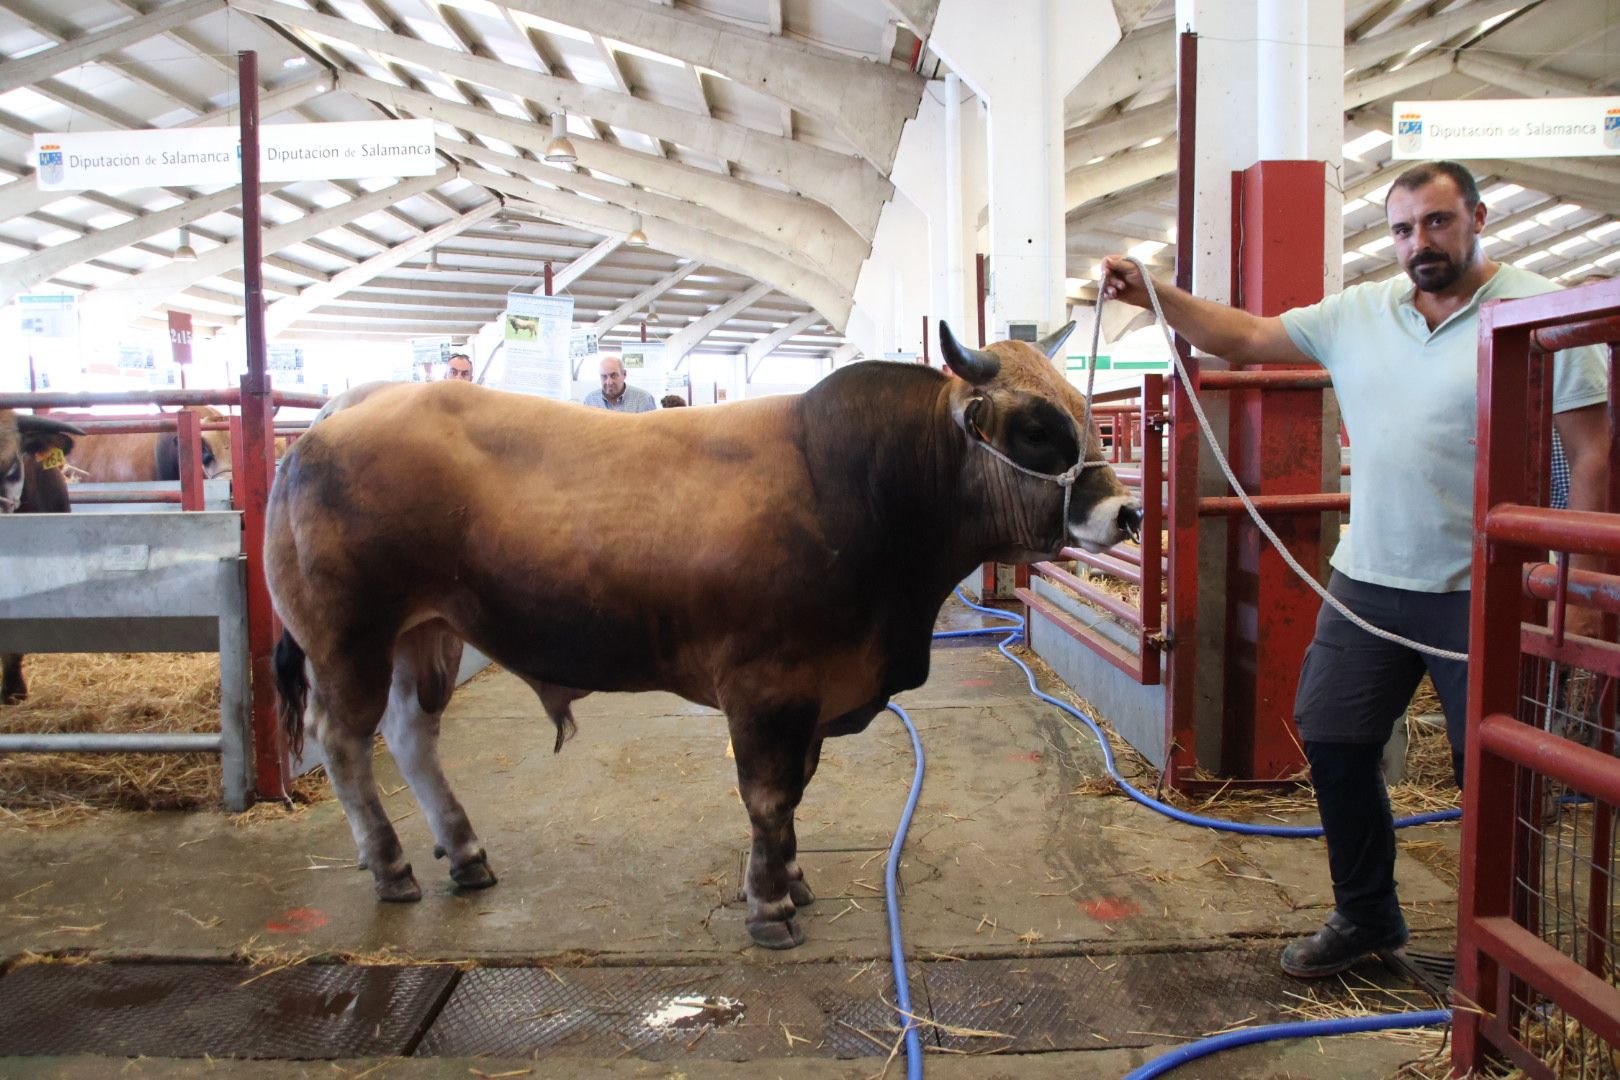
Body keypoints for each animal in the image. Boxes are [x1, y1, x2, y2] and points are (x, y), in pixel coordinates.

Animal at [265, 325, 1140, 952]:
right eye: (1036, 427)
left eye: (1086, 410)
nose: (1126, 511)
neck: (858, 485)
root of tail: (347, 408)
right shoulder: (765, 686)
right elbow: (769, 797)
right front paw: (771, 906)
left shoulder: (809, 695)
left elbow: (796, 794)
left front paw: (794, 878)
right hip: (348, 640)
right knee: (344, 743)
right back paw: (392, 866)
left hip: (428, 634)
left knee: (412, 737)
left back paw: (466, 853)